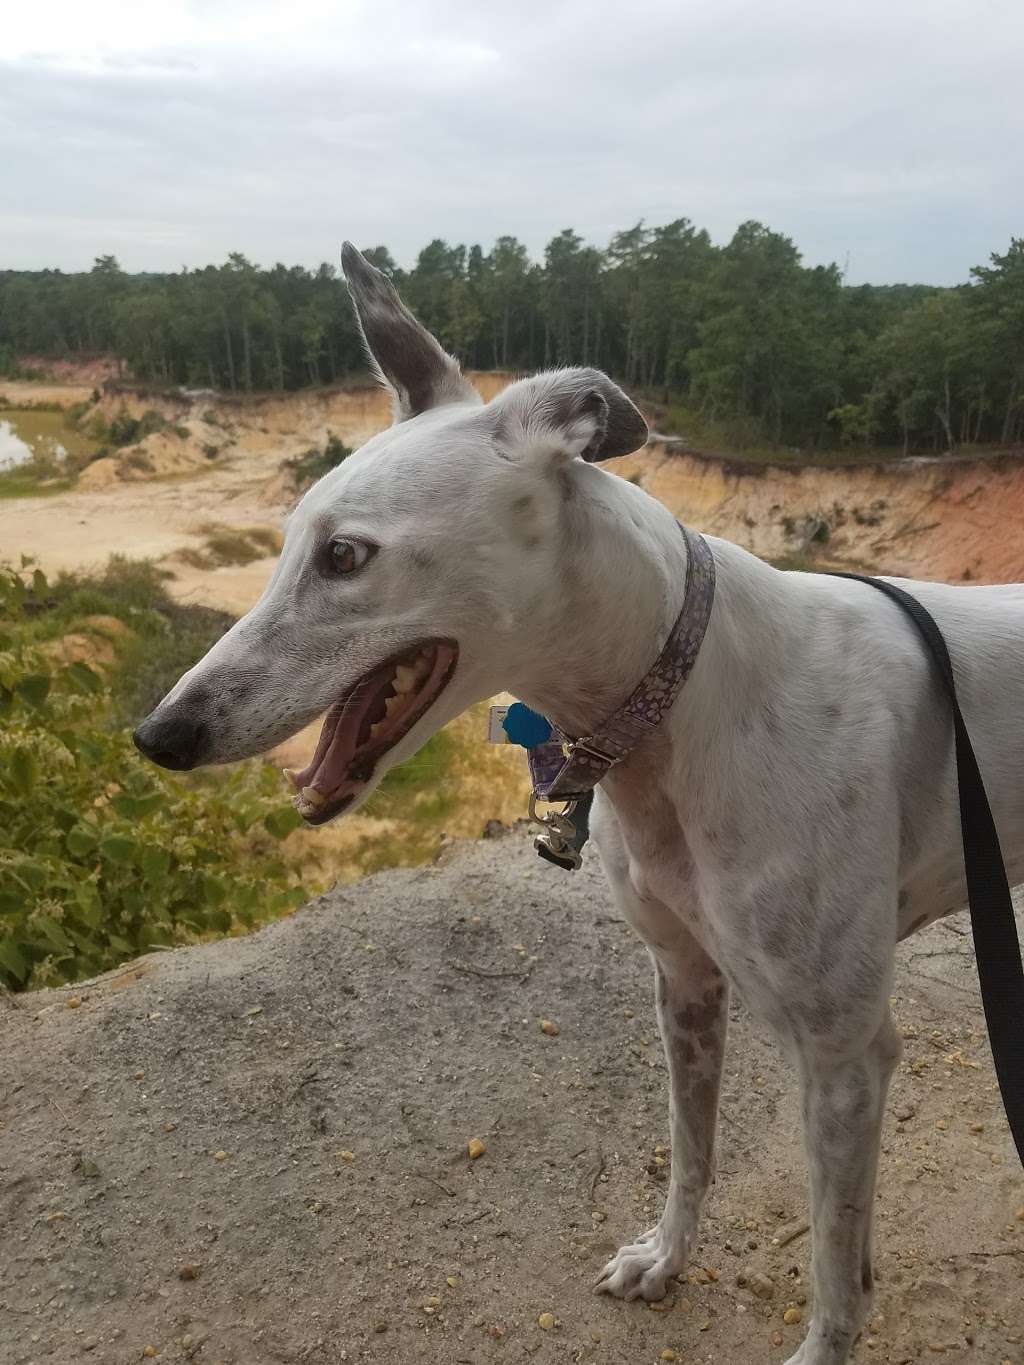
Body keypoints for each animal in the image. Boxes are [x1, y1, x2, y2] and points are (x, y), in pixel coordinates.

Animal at [136, 245, 1024, 1365]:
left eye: (345, 555)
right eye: (292, 537)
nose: (162, 734)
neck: (685, 692)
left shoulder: (843, 1050)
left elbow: (830, 1258)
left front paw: (831, 1325)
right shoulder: (685, 980)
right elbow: (694, 1152)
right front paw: (665, 1259)